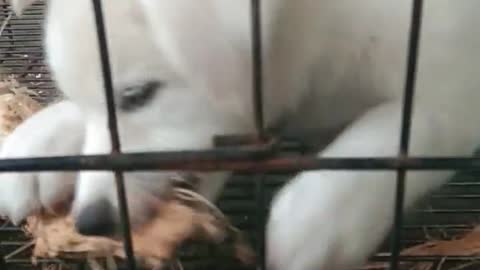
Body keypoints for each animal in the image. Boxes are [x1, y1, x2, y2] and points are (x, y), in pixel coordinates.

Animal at [3, 0, 480, 270]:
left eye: (138, 95)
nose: (90, 220)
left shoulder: (454, 94)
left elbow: (397, 132)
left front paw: (314, 223)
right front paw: (43, 140)